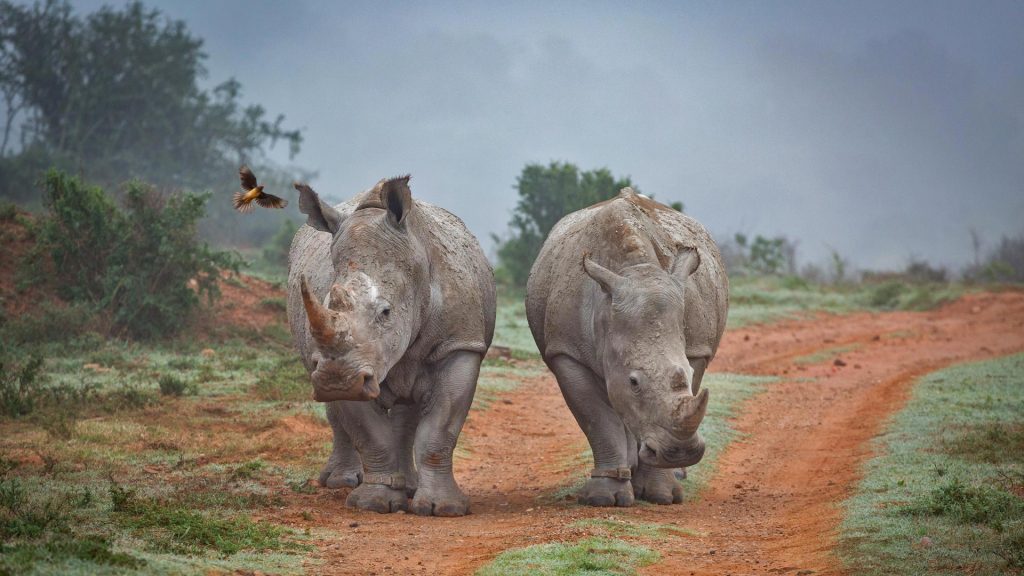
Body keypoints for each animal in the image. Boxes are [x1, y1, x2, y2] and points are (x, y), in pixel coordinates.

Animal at [288, 176, 495, 516]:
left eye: (386, 312)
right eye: (328, 304)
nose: (336, 380)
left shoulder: (459, 345)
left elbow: (439, 429)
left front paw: (442, 509)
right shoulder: (346, 364)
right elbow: (369, 434)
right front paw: (373, 503)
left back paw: (408, 487)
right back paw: (340, 482)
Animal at [528, 187, 729, 502]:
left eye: (686, 371)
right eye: (633, 382)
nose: (681, 452)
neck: (635, 268)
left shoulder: (697, 349)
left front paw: (662, 495)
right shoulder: (567, 352)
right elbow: (598, 419)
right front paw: (603, 498)